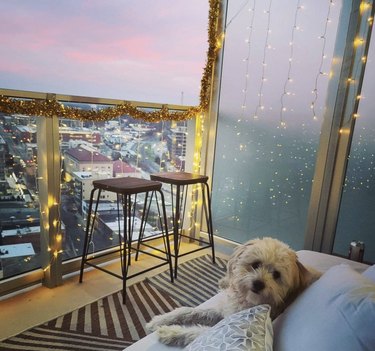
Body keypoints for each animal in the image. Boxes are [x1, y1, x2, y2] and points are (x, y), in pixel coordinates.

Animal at [146, 238, 320, 348]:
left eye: (276, 275)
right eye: (256, 264)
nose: (258, 283)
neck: (247, 301)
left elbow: (198, 331)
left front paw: (170, 331)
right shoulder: (224, 310)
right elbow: (188, 310)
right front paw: (160, 321)